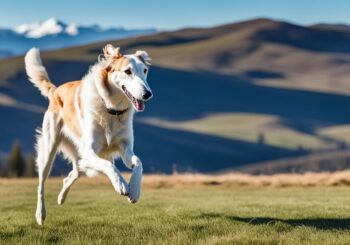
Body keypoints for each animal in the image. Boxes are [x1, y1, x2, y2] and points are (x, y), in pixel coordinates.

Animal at [23, 44, 152, 226]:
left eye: (145, 70)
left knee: (75, 171)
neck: (111, 109)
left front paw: (134, 190)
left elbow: (138, 163)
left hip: (81, 156)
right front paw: (121, 184)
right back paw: (40, 214)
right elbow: (109, 165)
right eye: (128, 71)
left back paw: (61, 198)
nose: (148, 94)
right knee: (41, 184)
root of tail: (57, 90)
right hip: (49, 149)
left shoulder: (125, 148)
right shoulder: (90, 151)